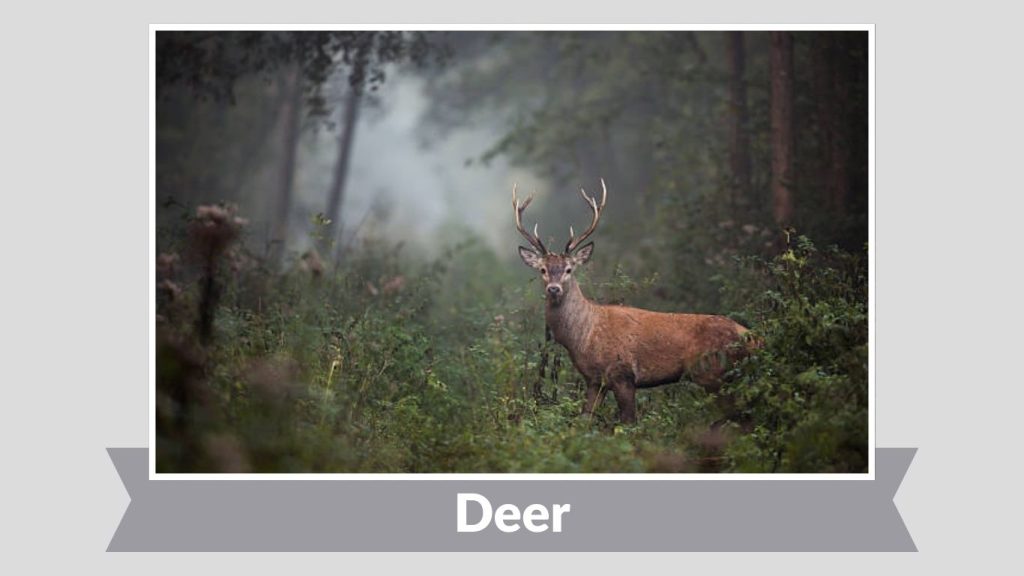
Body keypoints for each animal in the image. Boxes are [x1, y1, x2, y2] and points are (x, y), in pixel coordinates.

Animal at [513, 179, 752, 425]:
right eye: (543, 269)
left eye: (569, 269)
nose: (554, 288)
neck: (583, 337)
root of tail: (751, 336)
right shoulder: (595, 380)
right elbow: (585, 420)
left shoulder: (623, 373)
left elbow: (628, 422)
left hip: (713, 372)